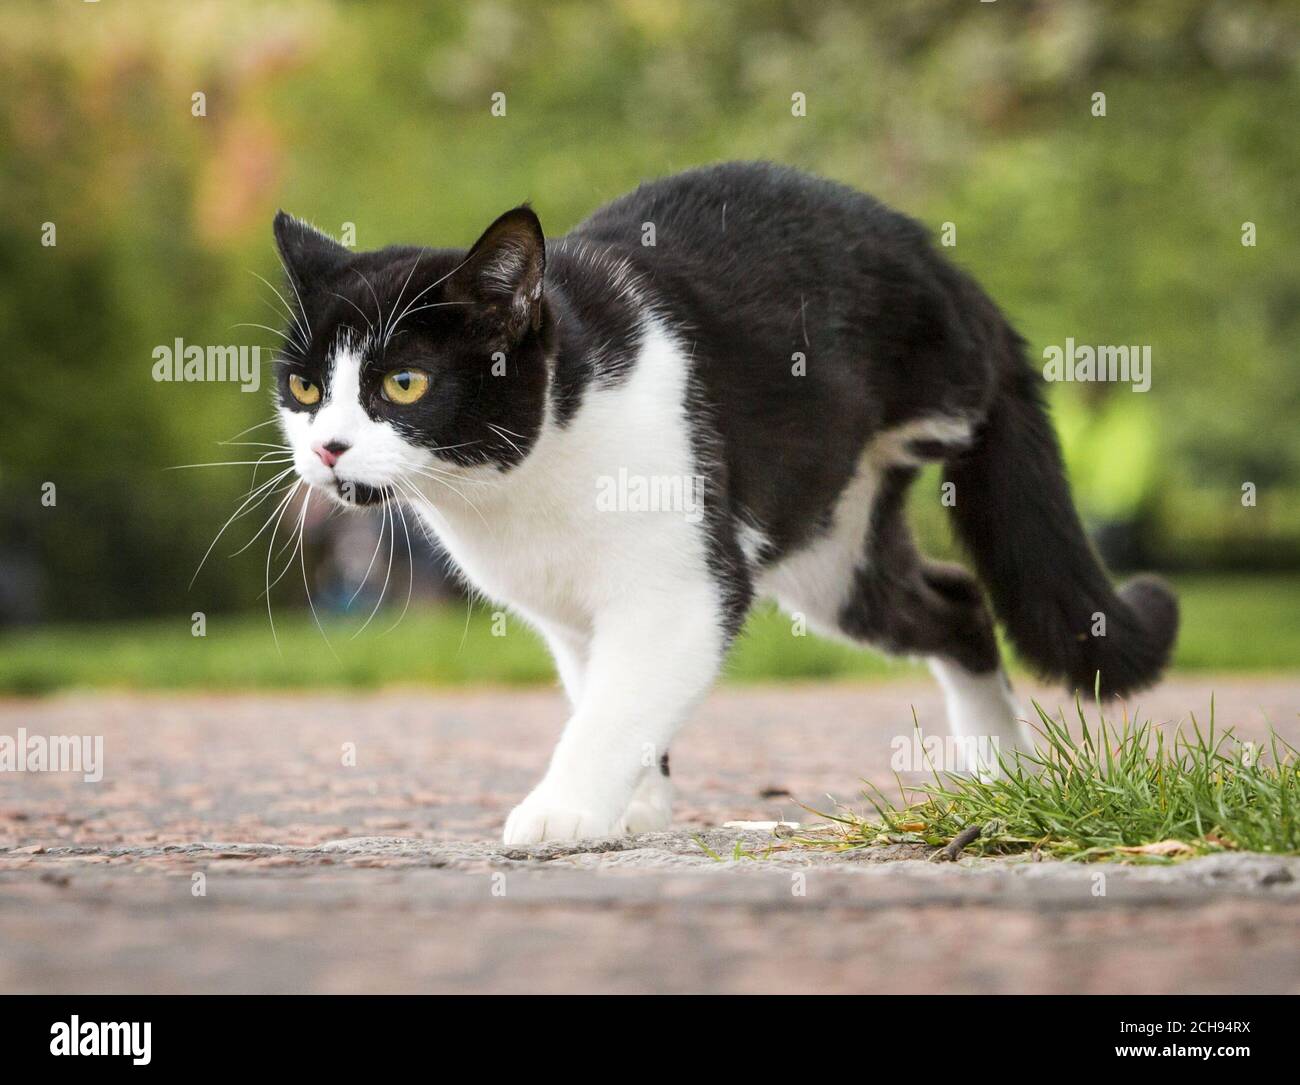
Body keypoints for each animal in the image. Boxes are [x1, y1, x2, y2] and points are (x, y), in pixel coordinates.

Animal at [271, 161, 1180, 842]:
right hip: (831, 551)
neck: (516, 482)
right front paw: (634, 806)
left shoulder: (680, 588)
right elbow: (606, 692)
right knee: (955, 601)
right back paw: (1000, 769)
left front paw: (563, 812)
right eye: (304, 387)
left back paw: (1000, 769)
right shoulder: (572, 619)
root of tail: (943, 262)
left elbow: (615, 704)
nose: (327, 446)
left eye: (404, 383)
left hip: (903, 420)